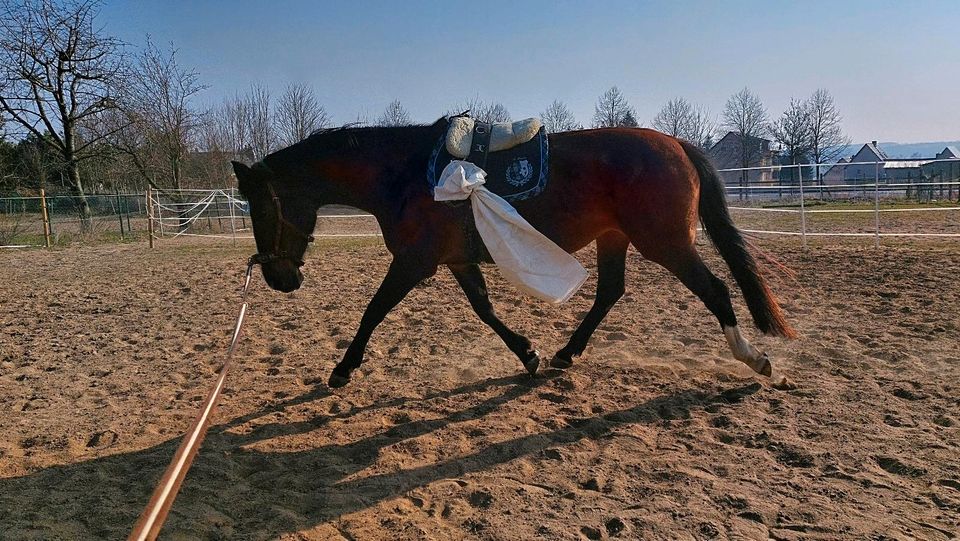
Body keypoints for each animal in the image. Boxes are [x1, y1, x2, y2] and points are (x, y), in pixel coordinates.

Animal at [232, 118, 796, 388]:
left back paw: (754, 358)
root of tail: (676, 144)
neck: (407, 175)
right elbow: (484, 310)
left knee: (715, 289)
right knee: (610, 292)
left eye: (260, 209)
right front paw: (529, 354)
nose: (279, 279)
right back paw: (566, 353)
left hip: (667, 243)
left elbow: (374, 310)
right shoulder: (456, 260)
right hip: (615, 238)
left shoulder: (414, 261)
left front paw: (342, 370)